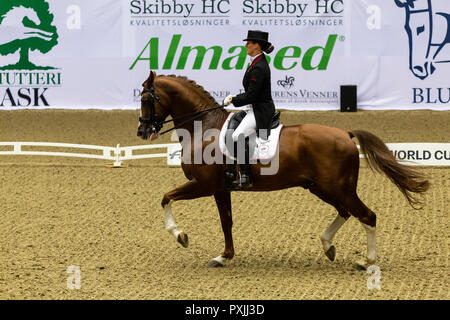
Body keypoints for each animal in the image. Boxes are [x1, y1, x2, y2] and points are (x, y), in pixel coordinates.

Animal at [136, 71, 428, 268]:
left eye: (146, 99)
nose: (142, 131)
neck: (203, 126)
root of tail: (345, 134)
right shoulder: (220, 188)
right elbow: (226, 221)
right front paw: (224, 256)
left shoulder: (203, 185)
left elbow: (166, 198)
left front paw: (181, 235)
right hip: (320, 187)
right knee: (346, 212)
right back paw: (328, 246)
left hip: (338, 188)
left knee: (367, 215)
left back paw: (367, 262)